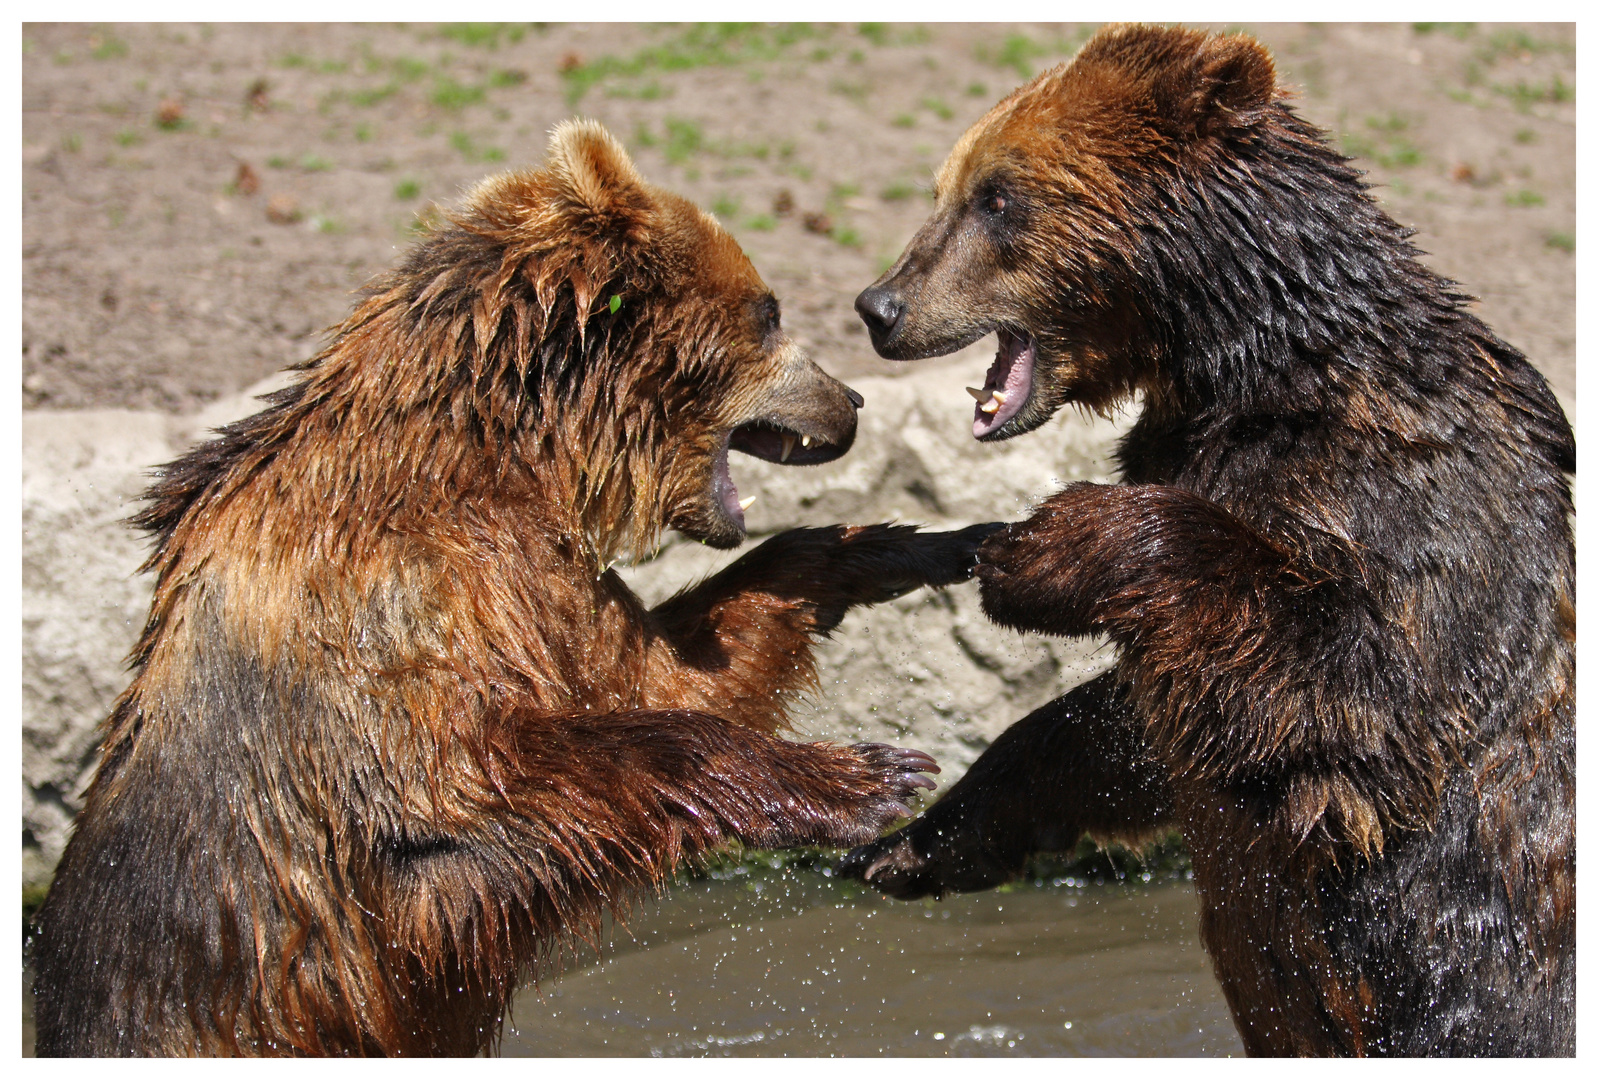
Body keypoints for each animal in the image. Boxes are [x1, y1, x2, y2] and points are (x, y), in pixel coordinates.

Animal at [28, 118, 984, 1054]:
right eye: (770, 309)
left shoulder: (542, 585)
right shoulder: (398, 607)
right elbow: (493, 778)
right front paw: (874, 777)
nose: (851, 399)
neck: (502, 458)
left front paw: (909, 543)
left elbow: (667, 674)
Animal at [850, 23, 1572, 1054]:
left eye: (998, 196)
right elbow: (1139, 722)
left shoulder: (1403, 494)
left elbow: (1355, 680)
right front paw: (909, 841)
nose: (881, 307)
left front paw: (1034, 551)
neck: (1242, 368)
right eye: (947, 186)